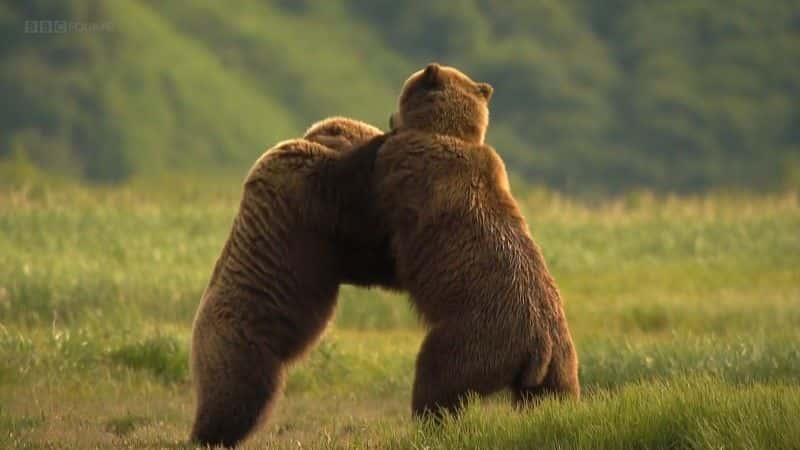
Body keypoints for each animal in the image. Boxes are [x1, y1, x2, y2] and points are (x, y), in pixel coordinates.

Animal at [191, 117, 396, 446]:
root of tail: (194, 340)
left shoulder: (337, 249)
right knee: (236, 397)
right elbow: (352, 204)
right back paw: (208, 436)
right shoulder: (311, 199)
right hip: (243, 345)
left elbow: (368, 256)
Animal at [376, 62, 580, 414]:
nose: (390, 117)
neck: (447, 132)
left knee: (437, 373)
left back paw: (429, 416)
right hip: (561, 359)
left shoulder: (412, 170)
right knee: (553, 396)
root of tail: (539, 342)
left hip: (475, 335)